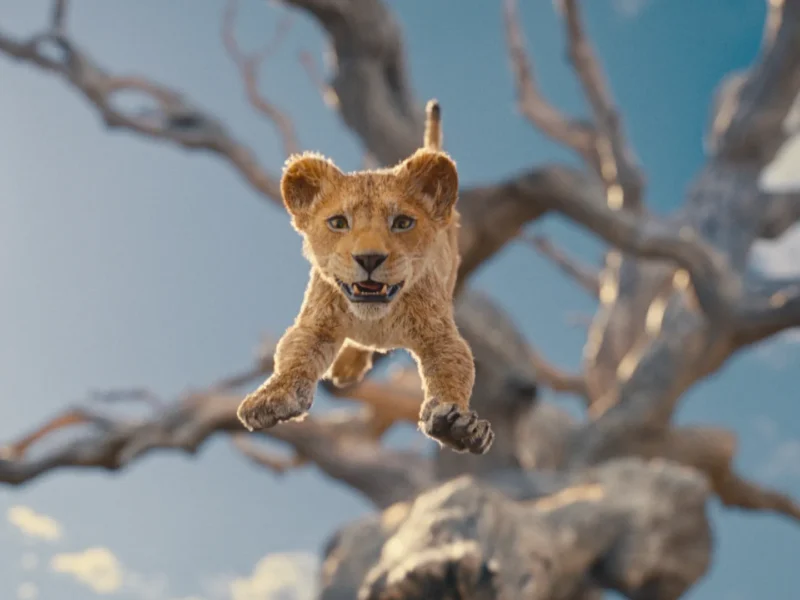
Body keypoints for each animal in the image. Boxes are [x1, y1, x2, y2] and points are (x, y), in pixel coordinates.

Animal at [236, 100, 494, 454]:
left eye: (402, 223)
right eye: (338, 222)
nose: (369, 258)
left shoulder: (440, 336)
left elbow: (453, 371)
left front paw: (458, 426)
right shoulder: (316, 323)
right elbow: (293, 356)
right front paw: (271, 397)